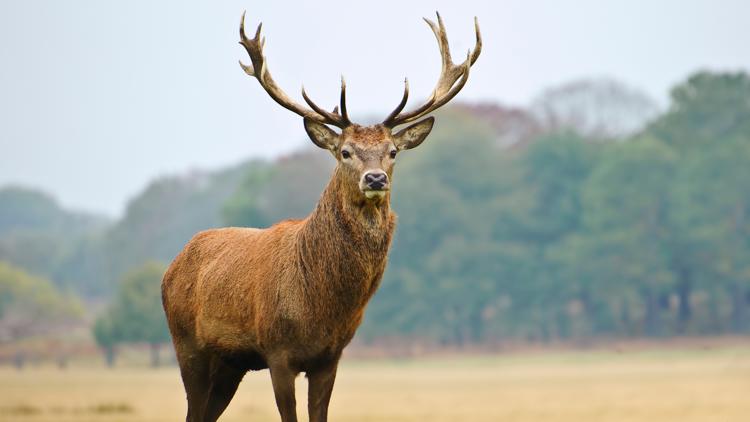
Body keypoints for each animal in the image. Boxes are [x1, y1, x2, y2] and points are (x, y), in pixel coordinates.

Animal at [161, 11, 481, 422]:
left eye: (392, 151)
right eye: (345, 151)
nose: (374, 178)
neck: (319, 306)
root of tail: (173, 265)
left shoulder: (330, 356)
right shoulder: (278, 352)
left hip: (231, 364)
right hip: (187, 344)